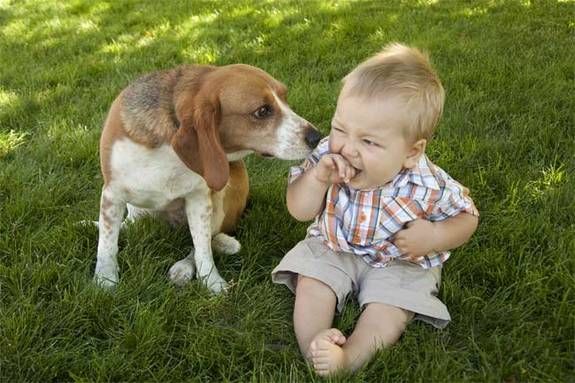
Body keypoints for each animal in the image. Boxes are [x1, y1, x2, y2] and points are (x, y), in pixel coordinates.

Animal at [92, 64, 322, 294]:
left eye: (285, 97)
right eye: (263, 111)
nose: (317, 137)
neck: (170, 149)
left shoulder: (199, 199)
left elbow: (202, 247)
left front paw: (211, 280)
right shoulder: (112, 194)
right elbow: (107, 243)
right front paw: (105, 279)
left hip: (221, 195)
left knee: (208, 239)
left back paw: (186, 266)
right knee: (129, 222)